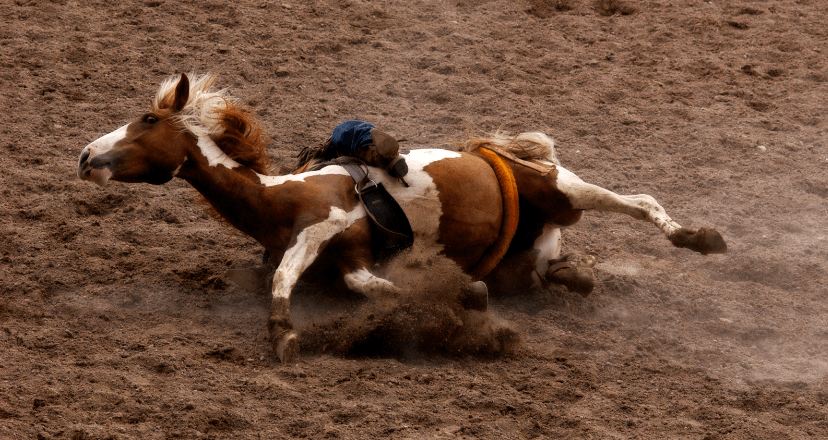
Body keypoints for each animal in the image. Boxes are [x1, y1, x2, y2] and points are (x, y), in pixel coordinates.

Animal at [77, 73, 727, 362]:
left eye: (148, 121)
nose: (85, 156)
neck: (275, 199)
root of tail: (494, 150)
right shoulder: (345, 260)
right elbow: (370, 287)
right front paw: (460, 298)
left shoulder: (324, 228)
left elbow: (293, 276)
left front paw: (283, 333)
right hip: (531, 252)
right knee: (559, 268)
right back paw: (573, 274)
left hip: (561, 190)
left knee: (641, 201)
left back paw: (702, 237)